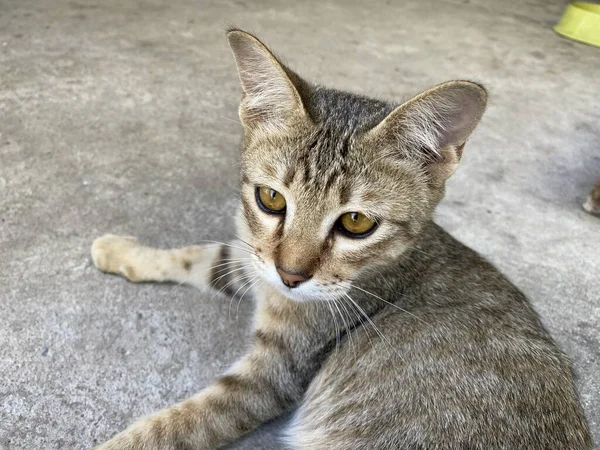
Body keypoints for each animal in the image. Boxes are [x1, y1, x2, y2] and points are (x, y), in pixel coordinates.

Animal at [89, 29, 592, 450]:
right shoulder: (255, 259)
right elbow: (206, 257)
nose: (290, 275)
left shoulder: (274, 374)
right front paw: (122, 250)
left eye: (355, 223)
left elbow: (172, 426)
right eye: (271, 198)